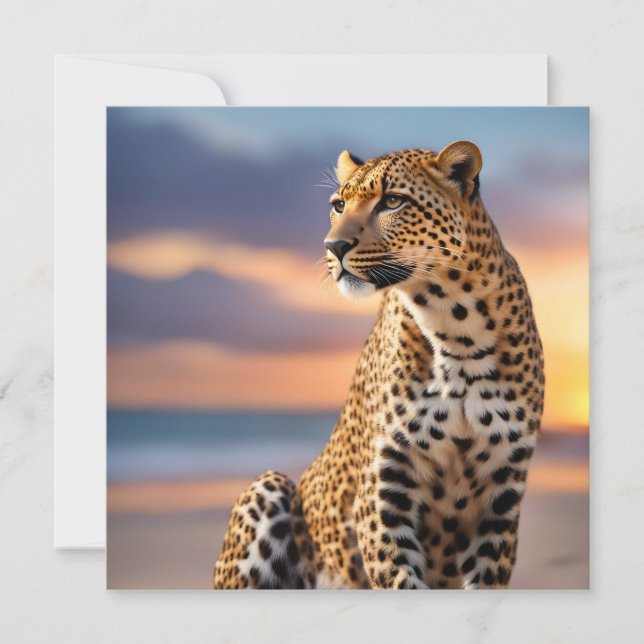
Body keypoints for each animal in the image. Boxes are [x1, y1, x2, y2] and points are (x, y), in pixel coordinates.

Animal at [213, 141, 544, 589]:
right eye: (338, 205)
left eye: (392, 201)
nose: (333, 246)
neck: (456, 328)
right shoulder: (381, 492)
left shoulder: (500, 499)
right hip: (268, 488)